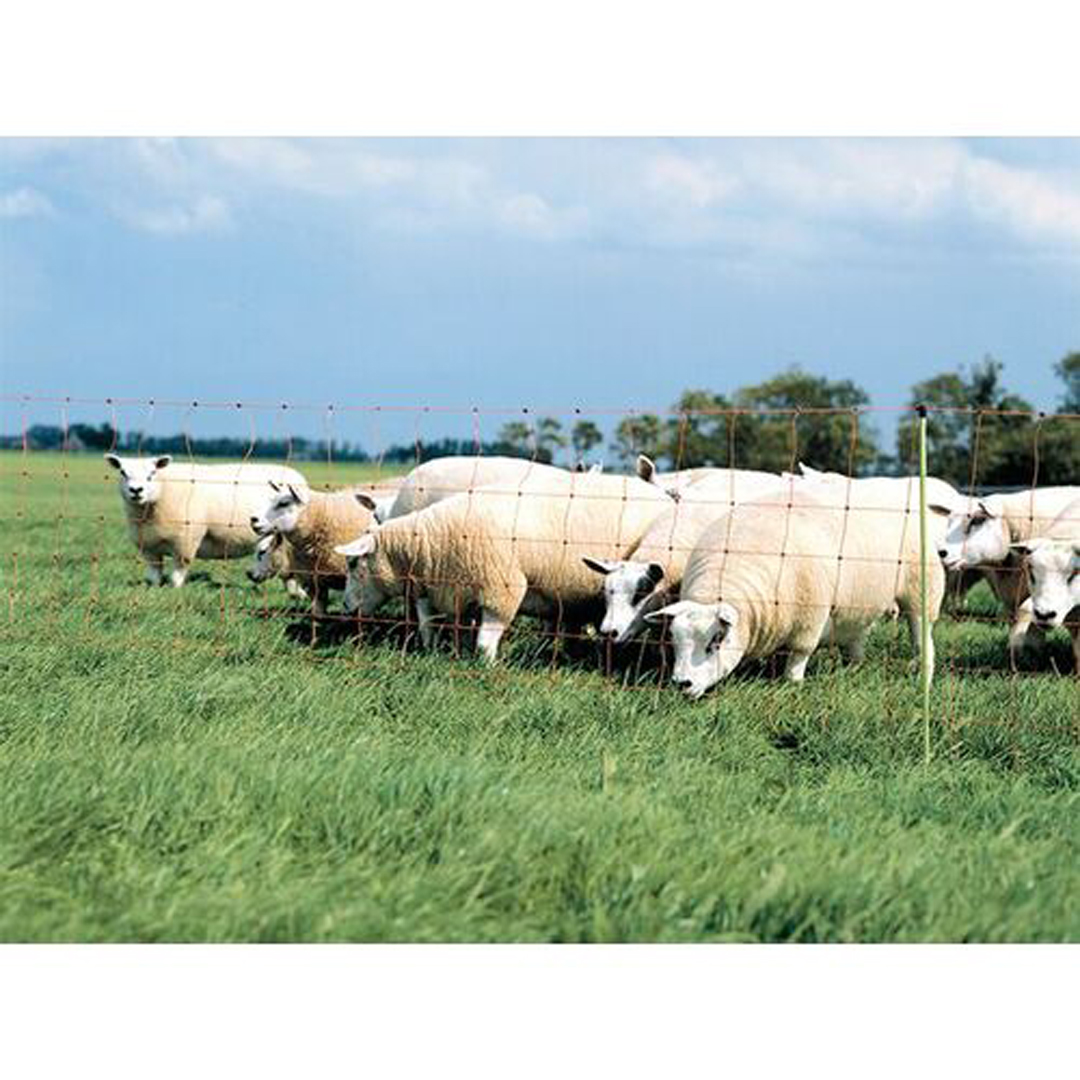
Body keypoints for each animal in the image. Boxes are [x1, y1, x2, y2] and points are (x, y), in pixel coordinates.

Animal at [104, 453, 309, 587]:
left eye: (152, 474)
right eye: (122, 472)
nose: (136, 490)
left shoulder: (185, 543)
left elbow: (176, 577)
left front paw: (174, 591)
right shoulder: (148, 547)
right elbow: (154, 576)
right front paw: (155, 590)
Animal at [334, 469, 674, 661]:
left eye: (352, 563)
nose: (348, 608)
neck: (435, 539)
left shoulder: (501, 590)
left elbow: (485, 641)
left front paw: (487, 668)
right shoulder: (437, 587)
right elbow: (429, 624)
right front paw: (435, 653)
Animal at [645, 486, 945, 698]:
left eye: (715, 642)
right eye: (673, 640)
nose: (681, 684)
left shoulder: (808, 623)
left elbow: (797, 660)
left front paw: (793, 687)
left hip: (922, 591)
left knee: (923, 640)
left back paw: (924, 681)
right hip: (857, 605)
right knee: (855, 641)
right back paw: (853, 670)